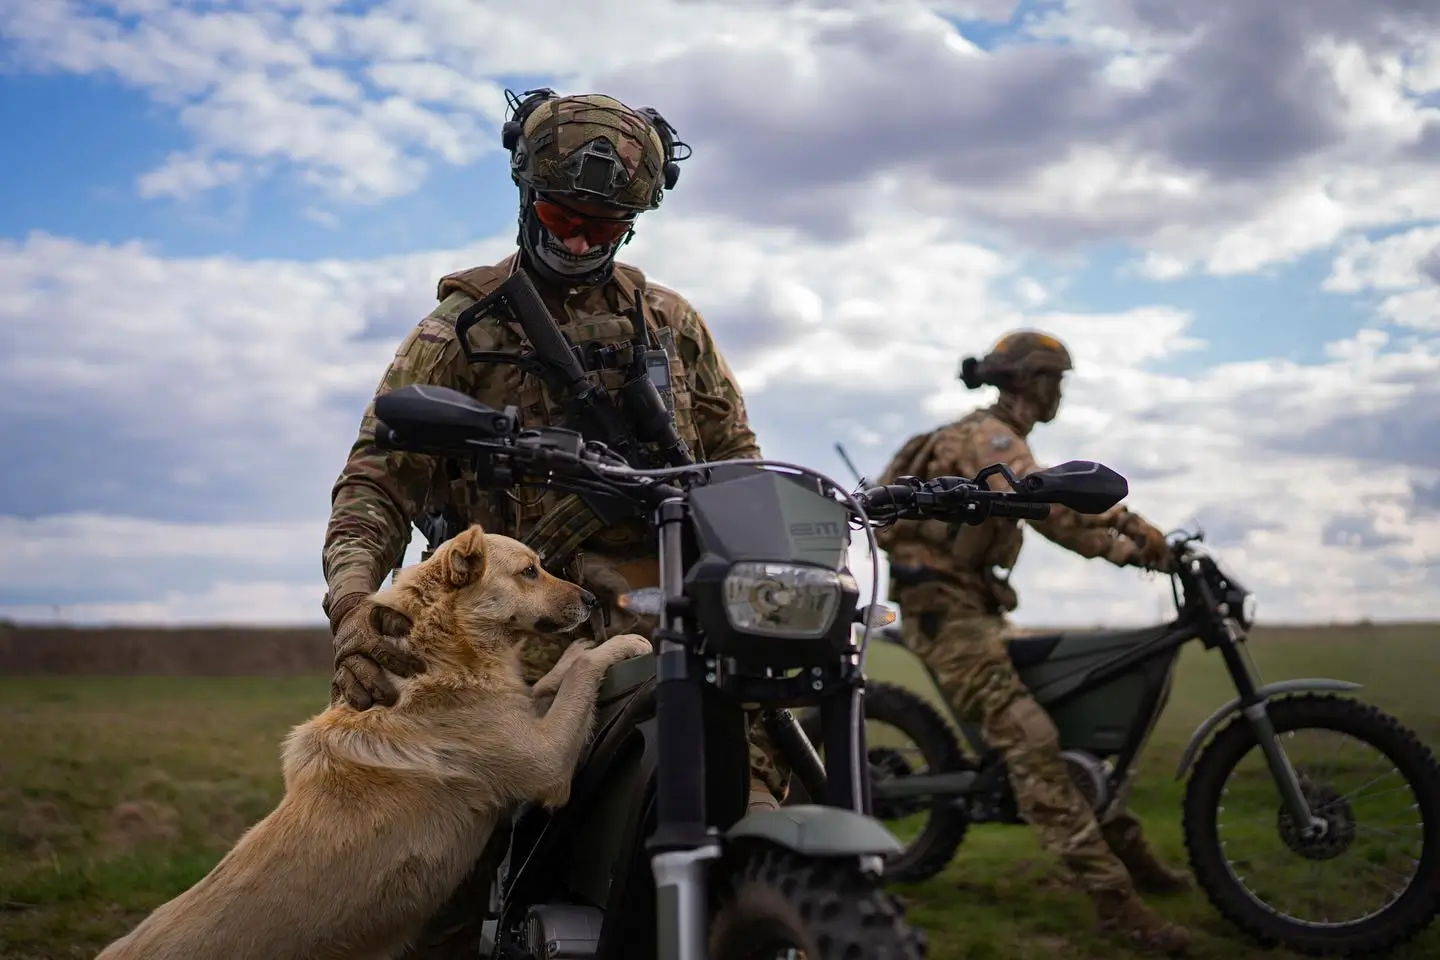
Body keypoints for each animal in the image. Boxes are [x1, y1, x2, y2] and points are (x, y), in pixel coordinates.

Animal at [104, 526, 656, 960]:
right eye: (529, 571)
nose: (593, 601)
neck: (440, 650)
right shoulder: (547, 763)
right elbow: (581, 676)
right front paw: (621, 644)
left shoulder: (524, 715)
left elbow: (551, 681)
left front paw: (581, 651)